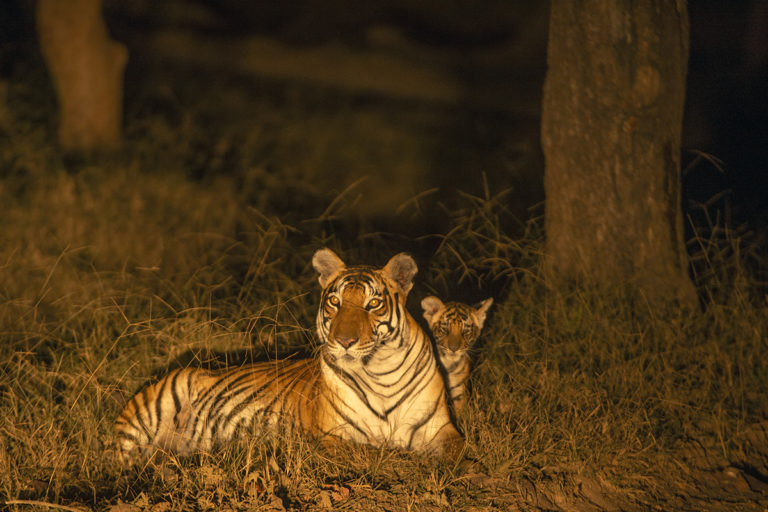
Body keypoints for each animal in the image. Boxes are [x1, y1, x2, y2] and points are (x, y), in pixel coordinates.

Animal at [113, 250, 462, 462]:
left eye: (372, 304)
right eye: (335, 302)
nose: (344, 341)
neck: (379, 370)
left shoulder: (442, 429)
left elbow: (457, 451)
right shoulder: (332, 437)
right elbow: (371, 452)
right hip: (152, 413)